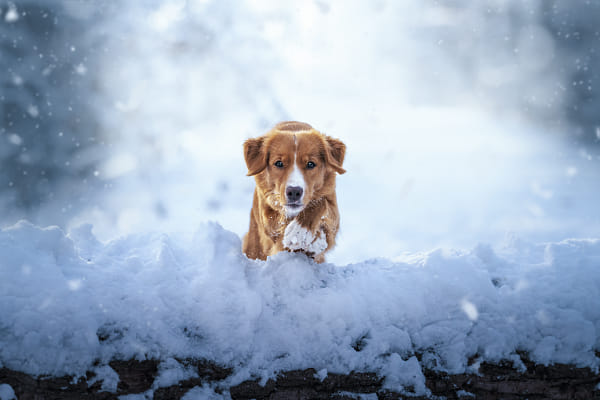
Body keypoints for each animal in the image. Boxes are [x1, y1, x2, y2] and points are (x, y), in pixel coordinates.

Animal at [241, 121, 344, 262]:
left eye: (310, 164)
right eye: (279, 163)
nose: (294, 191)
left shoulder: (334, 216)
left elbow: (321, 203)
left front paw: (300, 231)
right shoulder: (268, 214)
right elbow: (279, 238)